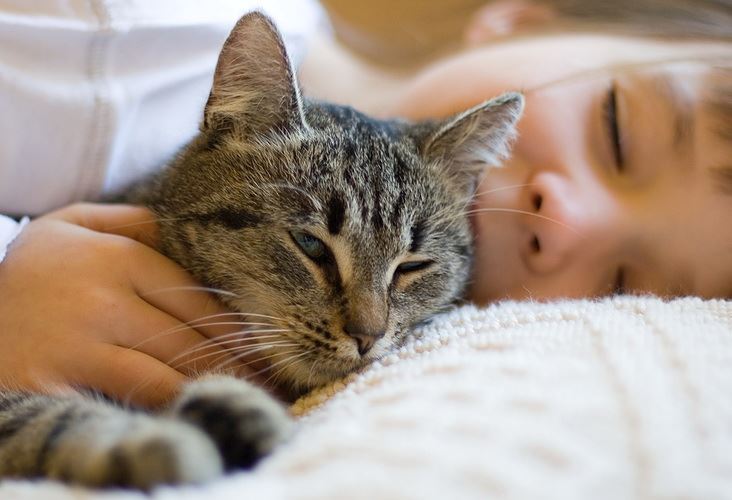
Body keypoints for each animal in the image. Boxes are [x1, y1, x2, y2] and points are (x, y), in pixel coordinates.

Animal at [0, 10, 524, 488]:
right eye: (311, 245)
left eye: (413, 266)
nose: (368, 337)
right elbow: (40, 415)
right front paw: (153, 441)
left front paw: (233, 410)